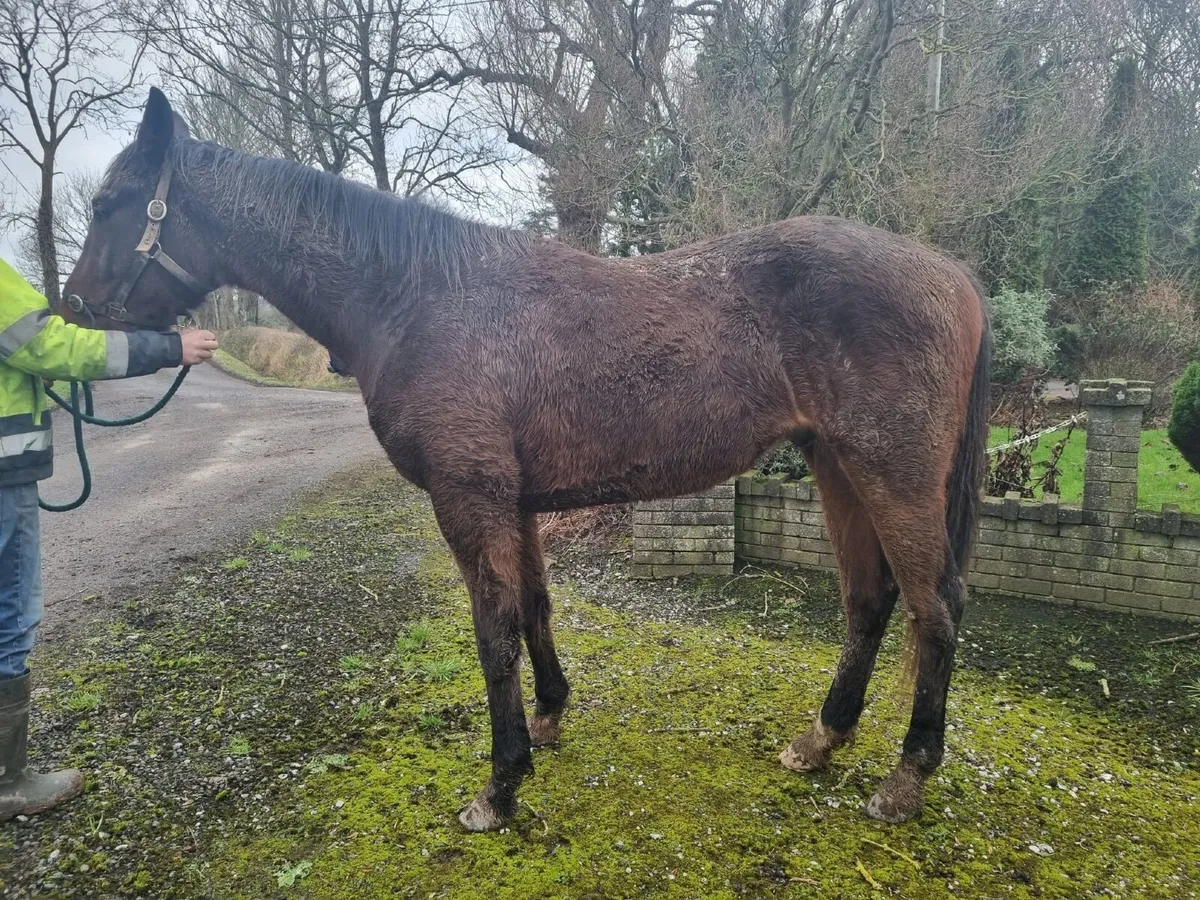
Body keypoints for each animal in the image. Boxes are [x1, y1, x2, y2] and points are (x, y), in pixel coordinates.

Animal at [64, 88, 990, 832]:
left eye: (111, 202)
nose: (74, 308)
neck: (418, 296)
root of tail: (953, 275)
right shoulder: (514, 501)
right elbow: (537, 610)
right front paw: (548, 720)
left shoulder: (469, 498)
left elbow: (493, 630)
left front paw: (500, 788)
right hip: (838, 468)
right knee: (869, 602)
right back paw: (820, 740)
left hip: (892, 473)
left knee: (935, 608)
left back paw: (905, 779)